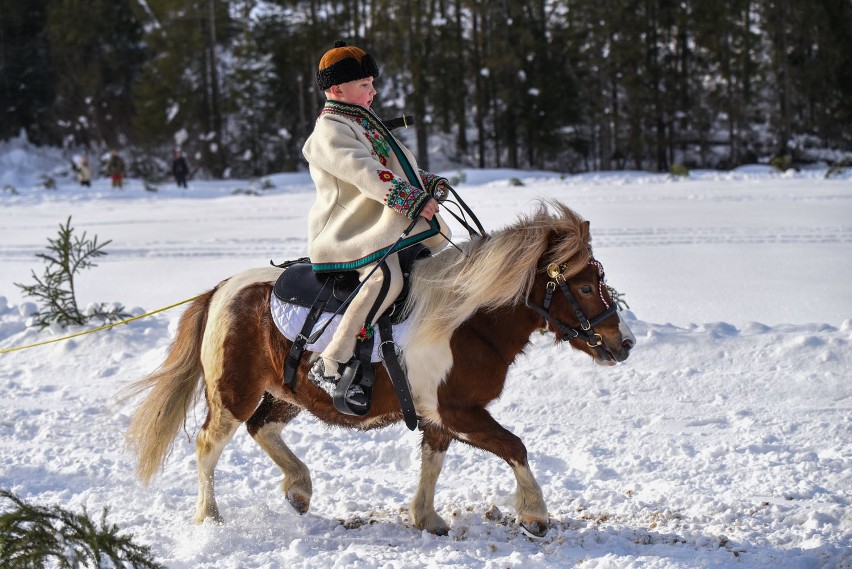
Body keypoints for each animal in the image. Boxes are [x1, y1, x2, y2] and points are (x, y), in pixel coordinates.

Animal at [125, 200, 632, 536]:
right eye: (583, 287)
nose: (623, 343)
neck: (465, 320)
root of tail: (222, 289)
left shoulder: (439, 415)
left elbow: (433, 461)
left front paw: (427, 518)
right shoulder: (459, 411)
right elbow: (515, 447)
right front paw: (534, 514)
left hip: (287, 393)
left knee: (262, 429)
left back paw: (299, 489)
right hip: (235, 392)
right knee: (208, 445)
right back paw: (210, 517)